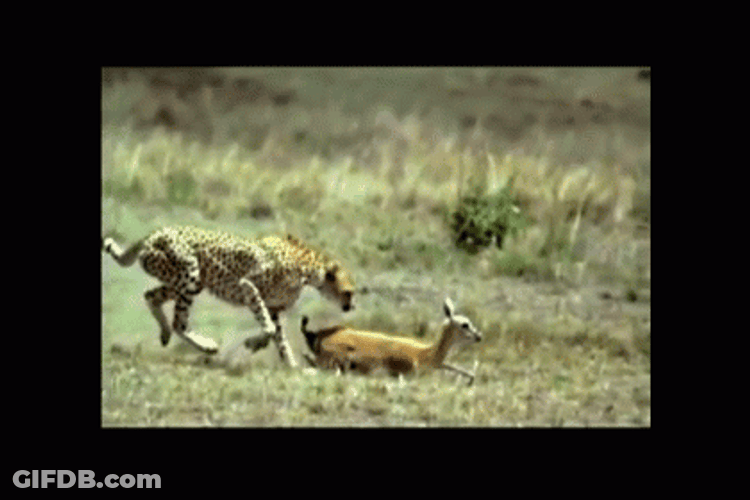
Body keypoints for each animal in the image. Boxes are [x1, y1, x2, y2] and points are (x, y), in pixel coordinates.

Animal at [102, 226, 355, 368]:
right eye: (348, 292)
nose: (351, 306)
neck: (310, 271)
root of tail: (156, 231)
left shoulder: (273, 308)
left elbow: (278, 336)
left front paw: (291, 365)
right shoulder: (247, 286)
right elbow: (269, 328)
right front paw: (254, 344)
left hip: (188, 281)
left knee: (151, 296)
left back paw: (164, 333)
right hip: (190, 274)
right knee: (179, 322)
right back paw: (207, 346)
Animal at [301, 298, 482, 385]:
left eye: (469, 321)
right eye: (464, 324)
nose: (479, 336)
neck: (424, 355)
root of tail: (319, 337)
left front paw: (471, 379)